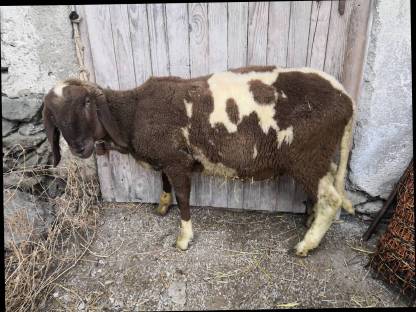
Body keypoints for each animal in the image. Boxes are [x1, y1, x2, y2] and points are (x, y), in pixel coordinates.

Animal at [42, 65, 354, 256]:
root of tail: (347, 99)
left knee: (331, 199)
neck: (133, 113)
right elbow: (165, 183)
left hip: (307, 156)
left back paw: (306, 244)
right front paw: (161, 207)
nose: (80, 148)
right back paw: (310, 220)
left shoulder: (177, 161)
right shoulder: (167, 156)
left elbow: (183, 197)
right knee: (331, 183)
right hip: (320, 157)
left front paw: (183, 238)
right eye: (53, 115)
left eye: (86, 103)